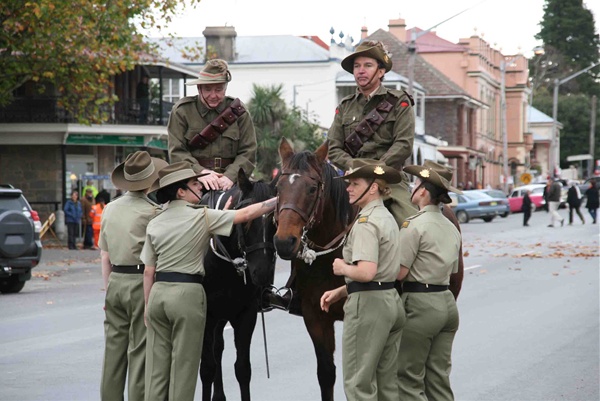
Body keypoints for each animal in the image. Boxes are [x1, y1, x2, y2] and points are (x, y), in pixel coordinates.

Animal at [200, 169, 278, 400]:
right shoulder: (205, 316)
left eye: (275, 221)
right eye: (246, 220)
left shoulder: (246, 314)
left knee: (218, 347)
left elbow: (242, 369)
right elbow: (207, 369)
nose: (262, 272)